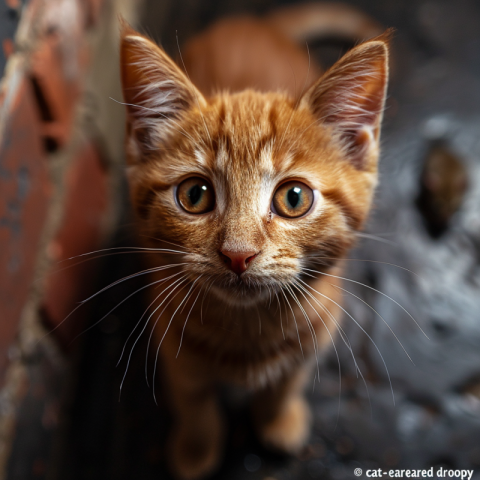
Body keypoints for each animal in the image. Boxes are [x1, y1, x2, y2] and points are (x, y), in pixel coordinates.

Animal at [119, 9, 390, 478]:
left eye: (293, 198)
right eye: (195, 195)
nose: (238, 254)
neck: (247, 333)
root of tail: (252, 20)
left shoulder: (318, 330)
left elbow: (285, 383)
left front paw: (278, 419)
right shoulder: (171, 340)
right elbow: (193, 401)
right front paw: (196, 448)